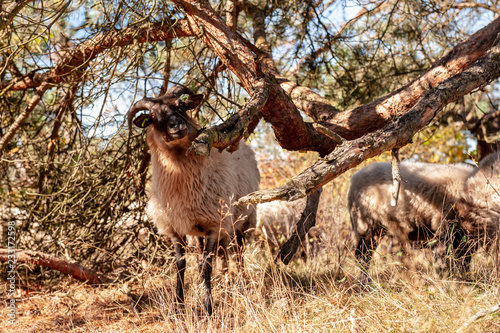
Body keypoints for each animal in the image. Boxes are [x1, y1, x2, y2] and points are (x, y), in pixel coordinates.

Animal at [127, 85, 260, 314]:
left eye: (181, 106)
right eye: (153, 117)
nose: (176, 125)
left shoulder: (214, 225)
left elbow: (208, 265)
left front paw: (208, 307)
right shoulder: (175, 228)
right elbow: (180, 265)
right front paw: (179, 305)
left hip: (243, 221)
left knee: (238, 254)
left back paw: (241, 284)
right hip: (199, 230)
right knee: (208, 256)